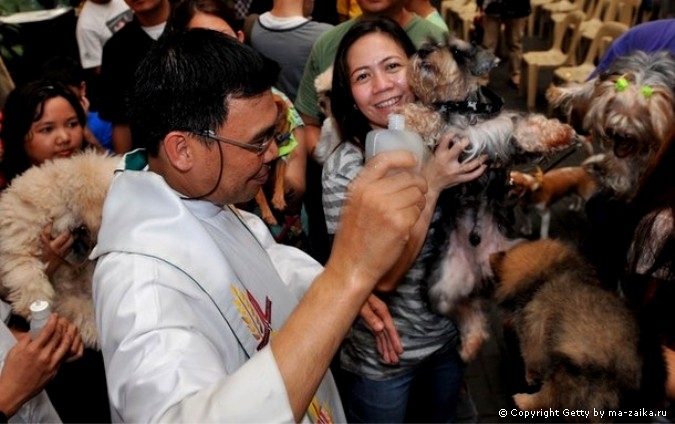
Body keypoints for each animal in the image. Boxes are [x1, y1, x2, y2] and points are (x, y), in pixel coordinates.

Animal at [402, 35, 580, 362]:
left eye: (455, 50)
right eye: (431, 43)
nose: (423, 51)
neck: (465, 108)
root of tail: (482, 270)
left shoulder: (508, 131)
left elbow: (532, 126)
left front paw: (563, 131)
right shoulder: (448, 134)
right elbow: (431, 113)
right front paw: (409, 113)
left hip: (522, 254)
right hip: (442, 288)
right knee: (468, 312)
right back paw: (471, 345)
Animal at [488, 238, 668, 420]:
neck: (549, 274)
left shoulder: (532, 335)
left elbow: (531, 359)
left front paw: (530, 376)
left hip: (568, 370)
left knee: (551, 398)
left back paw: (524, 401)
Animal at [548, 49, 675, 202]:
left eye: (636, 120)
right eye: (612, 111)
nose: (619, 134)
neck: (641, 80)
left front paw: (620, 183)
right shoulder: (603, 84)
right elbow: (585, 89)